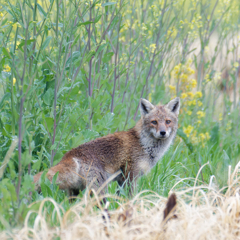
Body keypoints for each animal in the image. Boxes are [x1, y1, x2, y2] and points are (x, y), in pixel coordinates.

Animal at [33, 97, 180, 197]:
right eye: (154, 122)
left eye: (168, 121)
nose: (163, 132)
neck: (143, 144)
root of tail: (69, 154)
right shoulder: (130, 176)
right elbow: (130, 198)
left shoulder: (121, 180)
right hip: (99, 188)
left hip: (75, 191)